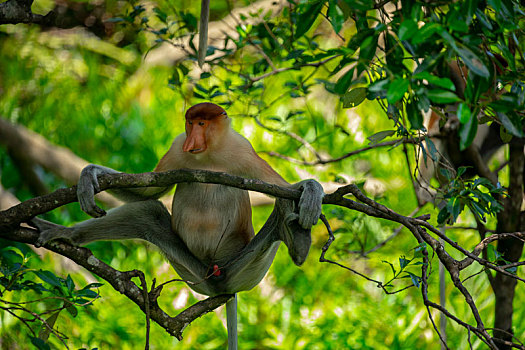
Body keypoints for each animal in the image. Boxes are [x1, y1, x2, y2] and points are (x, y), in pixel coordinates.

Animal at [32, 102, 324, 350]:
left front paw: (311, 190)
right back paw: (66, 234)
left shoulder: (244, 149)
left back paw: (298, 239)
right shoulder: (176, 147)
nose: (191, 141)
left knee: (282, 201)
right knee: (147, 212)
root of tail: (220, 284)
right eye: (190, 123)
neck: (209, 155)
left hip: (245, 270)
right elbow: (148, 191)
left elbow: (280, 187)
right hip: (193, 273)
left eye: (203, 123)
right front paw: (89, 175)